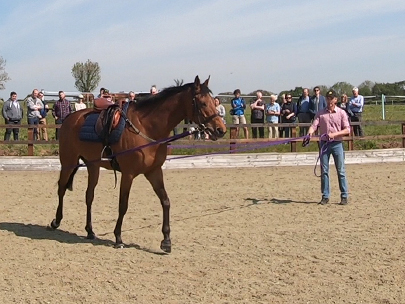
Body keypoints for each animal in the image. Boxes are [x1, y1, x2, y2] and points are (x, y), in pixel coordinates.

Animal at [49, 76, 226, 252]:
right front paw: (118, 238)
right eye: (203, 103)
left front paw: (166, 241)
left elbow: (165, 201)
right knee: (61, 188)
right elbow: (123, 205)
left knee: (89, 196)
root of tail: (70, 119)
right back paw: (56, 221)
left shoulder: (154, 172)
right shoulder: (128, 174)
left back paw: (90, 230)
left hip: (93, 166)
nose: (221, 129)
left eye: (213, 101)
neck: (147, 127)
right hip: (69, 162)